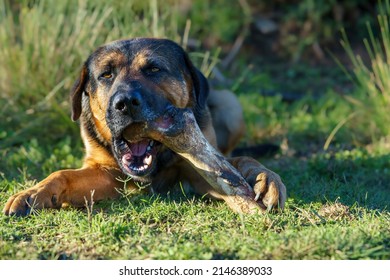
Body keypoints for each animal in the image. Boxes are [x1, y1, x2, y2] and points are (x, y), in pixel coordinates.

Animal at [1, 37, 284, 217]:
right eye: (106, 74)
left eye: (154, 69)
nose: (125, 103)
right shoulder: (106, 173)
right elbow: (63, 174)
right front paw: (33, 192)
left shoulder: (196, 173)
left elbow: (237, 163)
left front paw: (264, 178)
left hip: (231, 104)